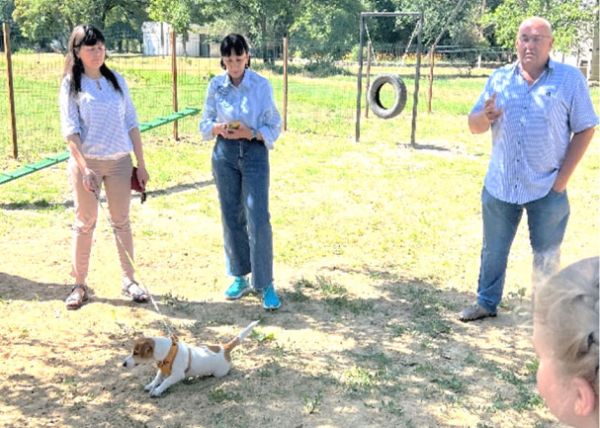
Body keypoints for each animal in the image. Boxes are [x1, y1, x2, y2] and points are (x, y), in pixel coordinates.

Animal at [123, 320, 258, 396]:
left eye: (136, 353)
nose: (123, 364)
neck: (169, 352)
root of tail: (225, 348)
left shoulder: (177, 375)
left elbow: (166, 381)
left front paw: (157, 391)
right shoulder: (161, 370)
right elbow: (157, 379)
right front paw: (151, 386)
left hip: (219, 373)